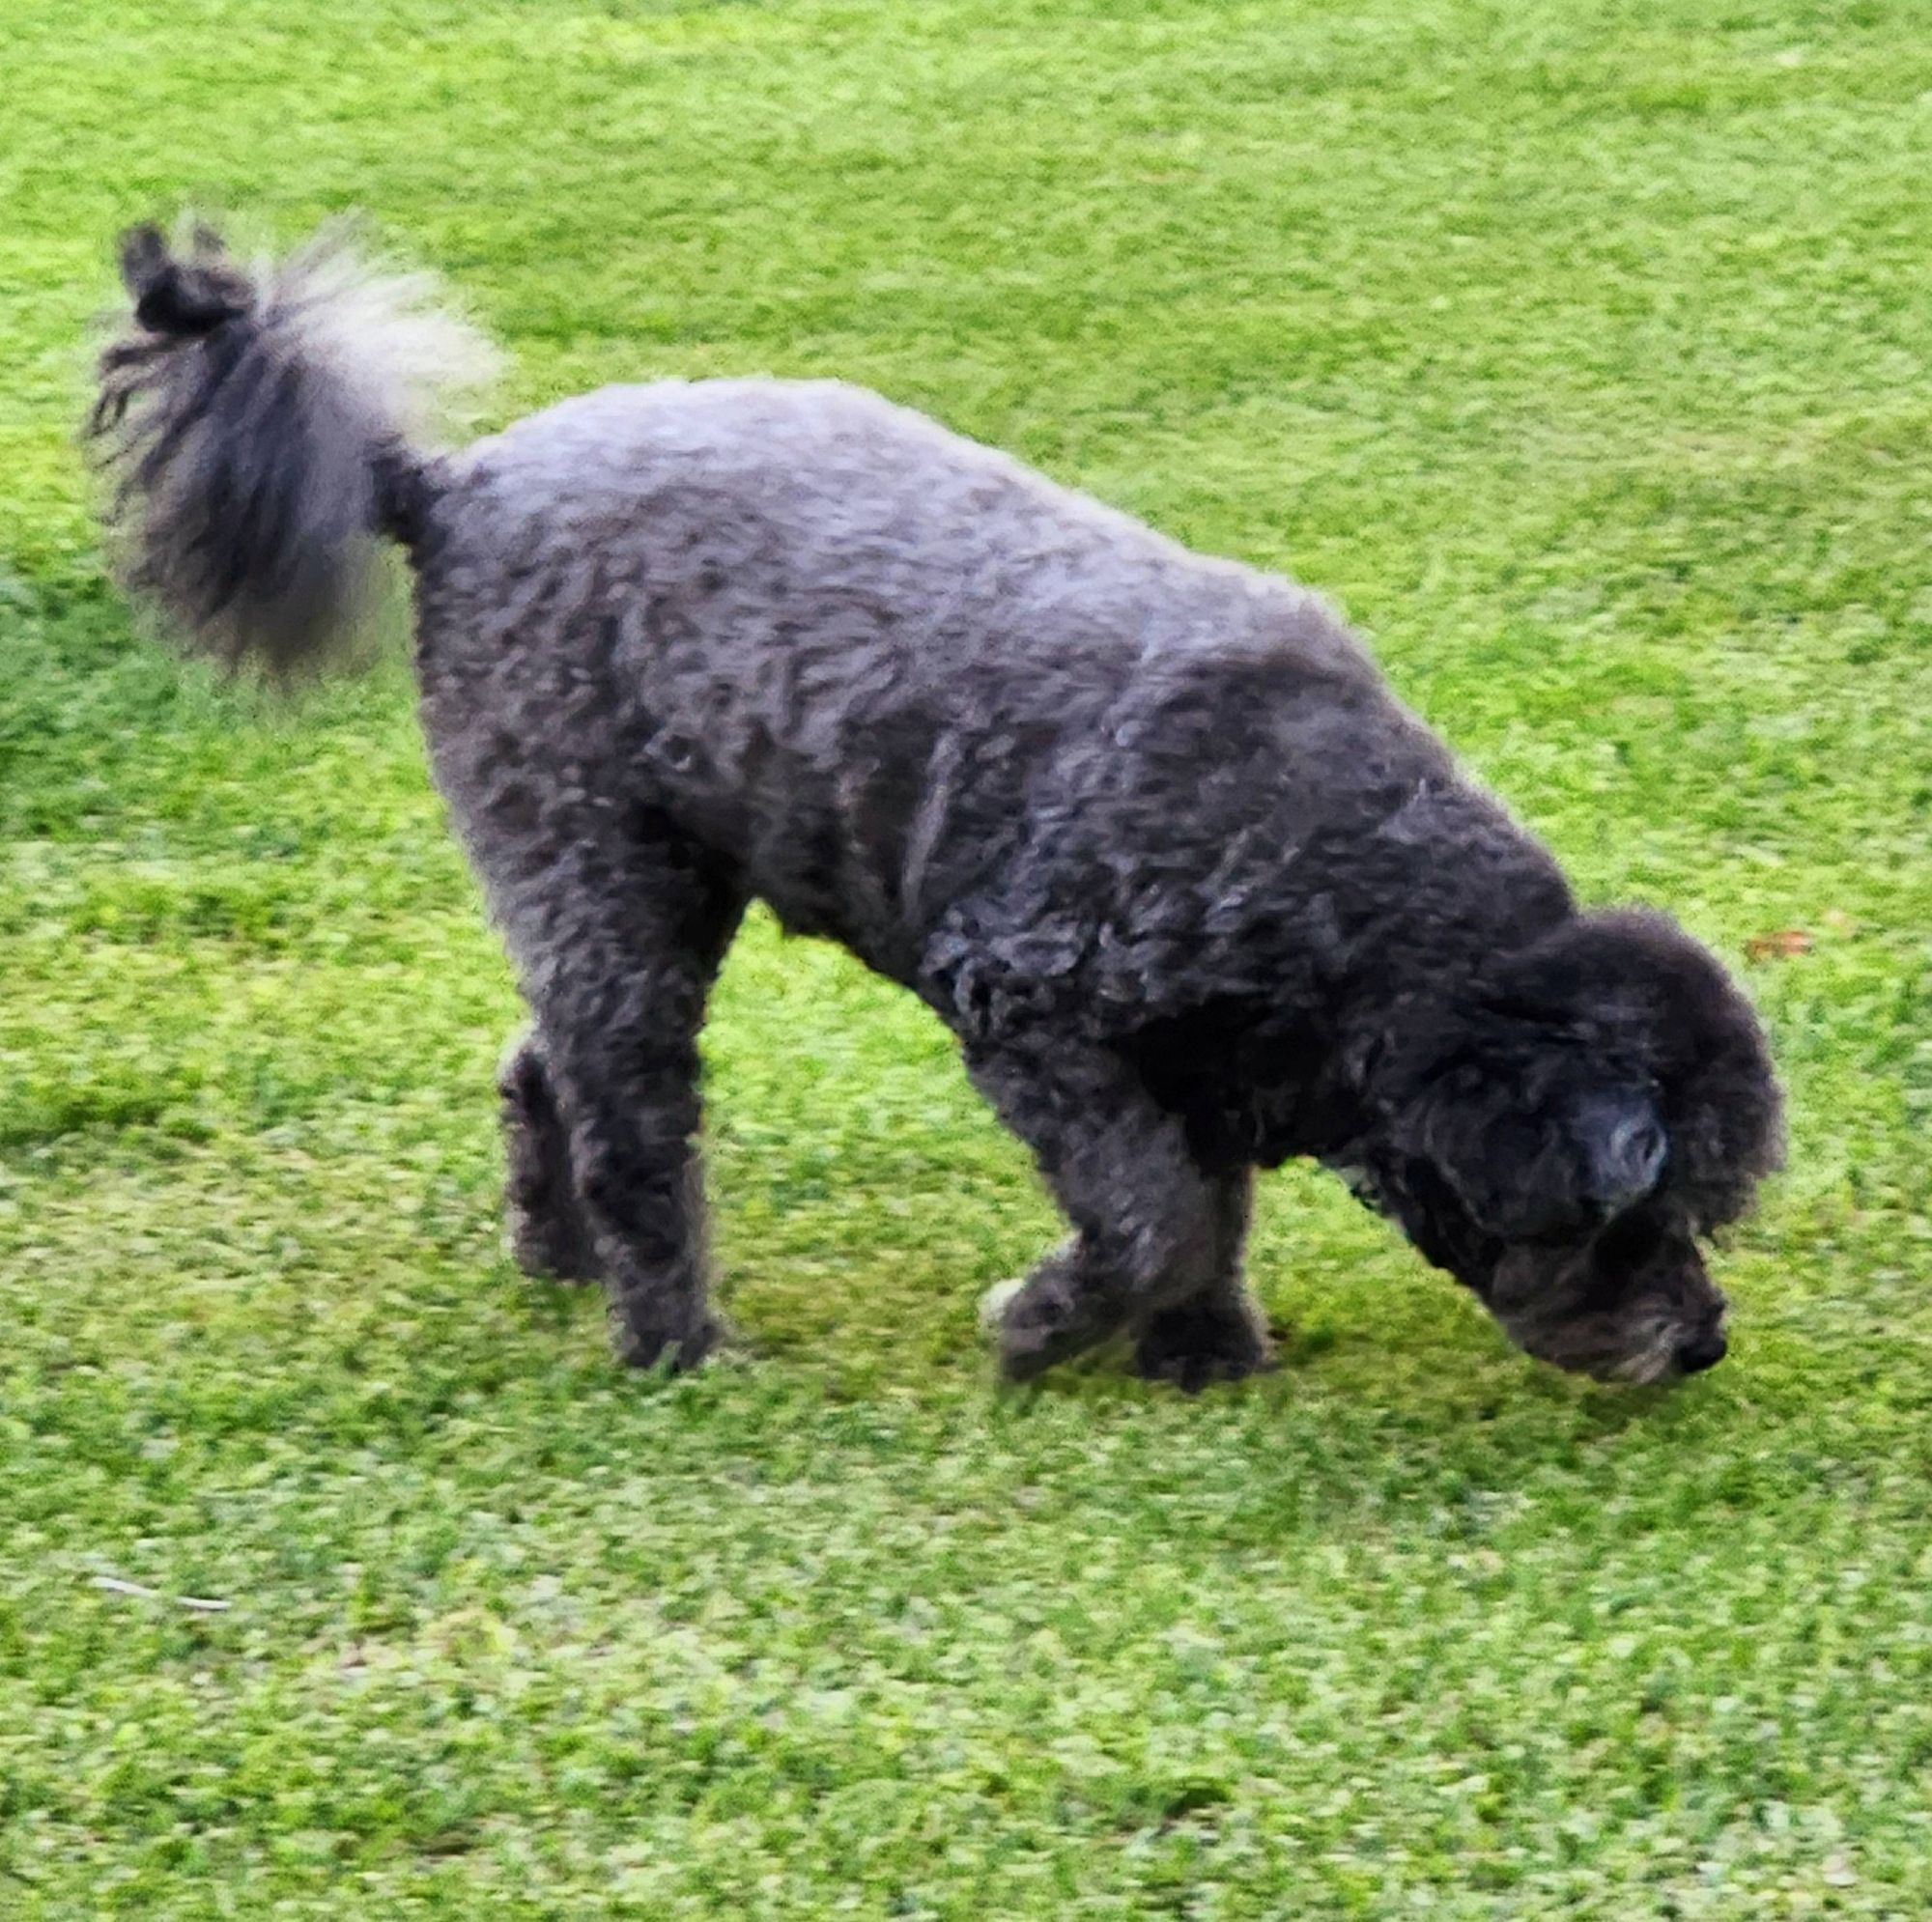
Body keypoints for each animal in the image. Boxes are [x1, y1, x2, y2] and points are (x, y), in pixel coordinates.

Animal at [91, 225, 1777, 1391]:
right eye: (1631, 1210)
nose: (1700, 1339)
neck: (1339, 872)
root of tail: (445, 486)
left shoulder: (1206, 1059)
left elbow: (1209, 1213)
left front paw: (1204, 1352)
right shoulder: (1033, 1012)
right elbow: (1156, 1215)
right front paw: (1041, 1327)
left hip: (636, 883)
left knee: (541, 1061)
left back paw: (557, 1251)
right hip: (596, 865)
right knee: (635, 1120)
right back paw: (670, 1335)